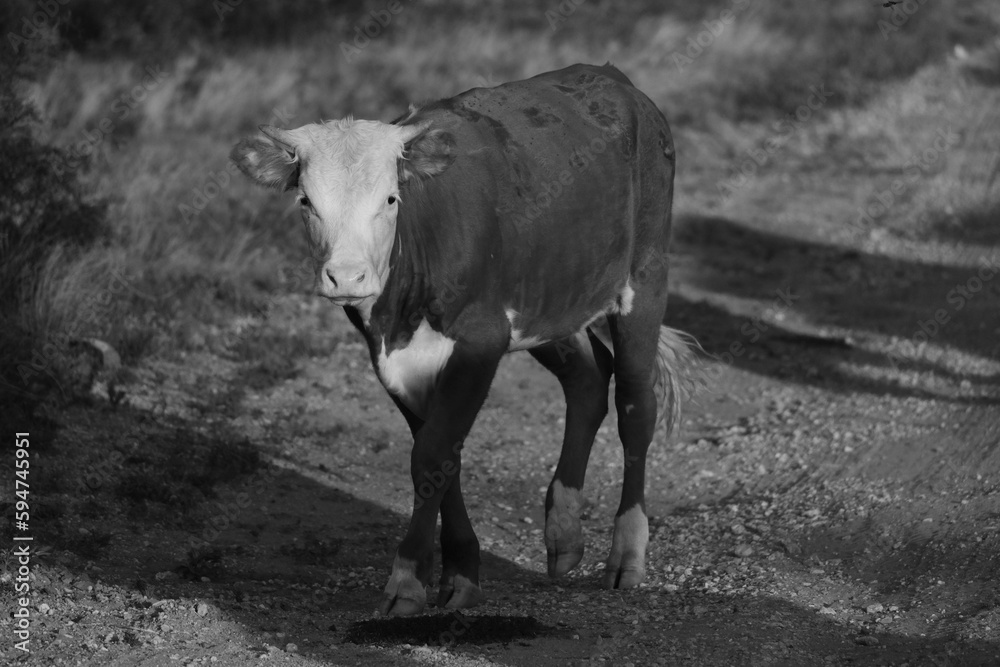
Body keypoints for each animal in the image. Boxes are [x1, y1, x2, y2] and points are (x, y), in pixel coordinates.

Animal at [231, 63, 694, 616]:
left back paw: (626, 553)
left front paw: (406, 582)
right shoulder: (395, 358)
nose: (346, 277)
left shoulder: (480, 342)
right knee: (587, 382)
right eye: (306, 201)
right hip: (552, 297)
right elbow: (437, 456)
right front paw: (459, 573)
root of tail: (611, 78)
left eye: (390, 198)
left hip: (645, 276)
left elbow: (432, 455)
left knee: (635, 405)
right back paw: (563, 534)